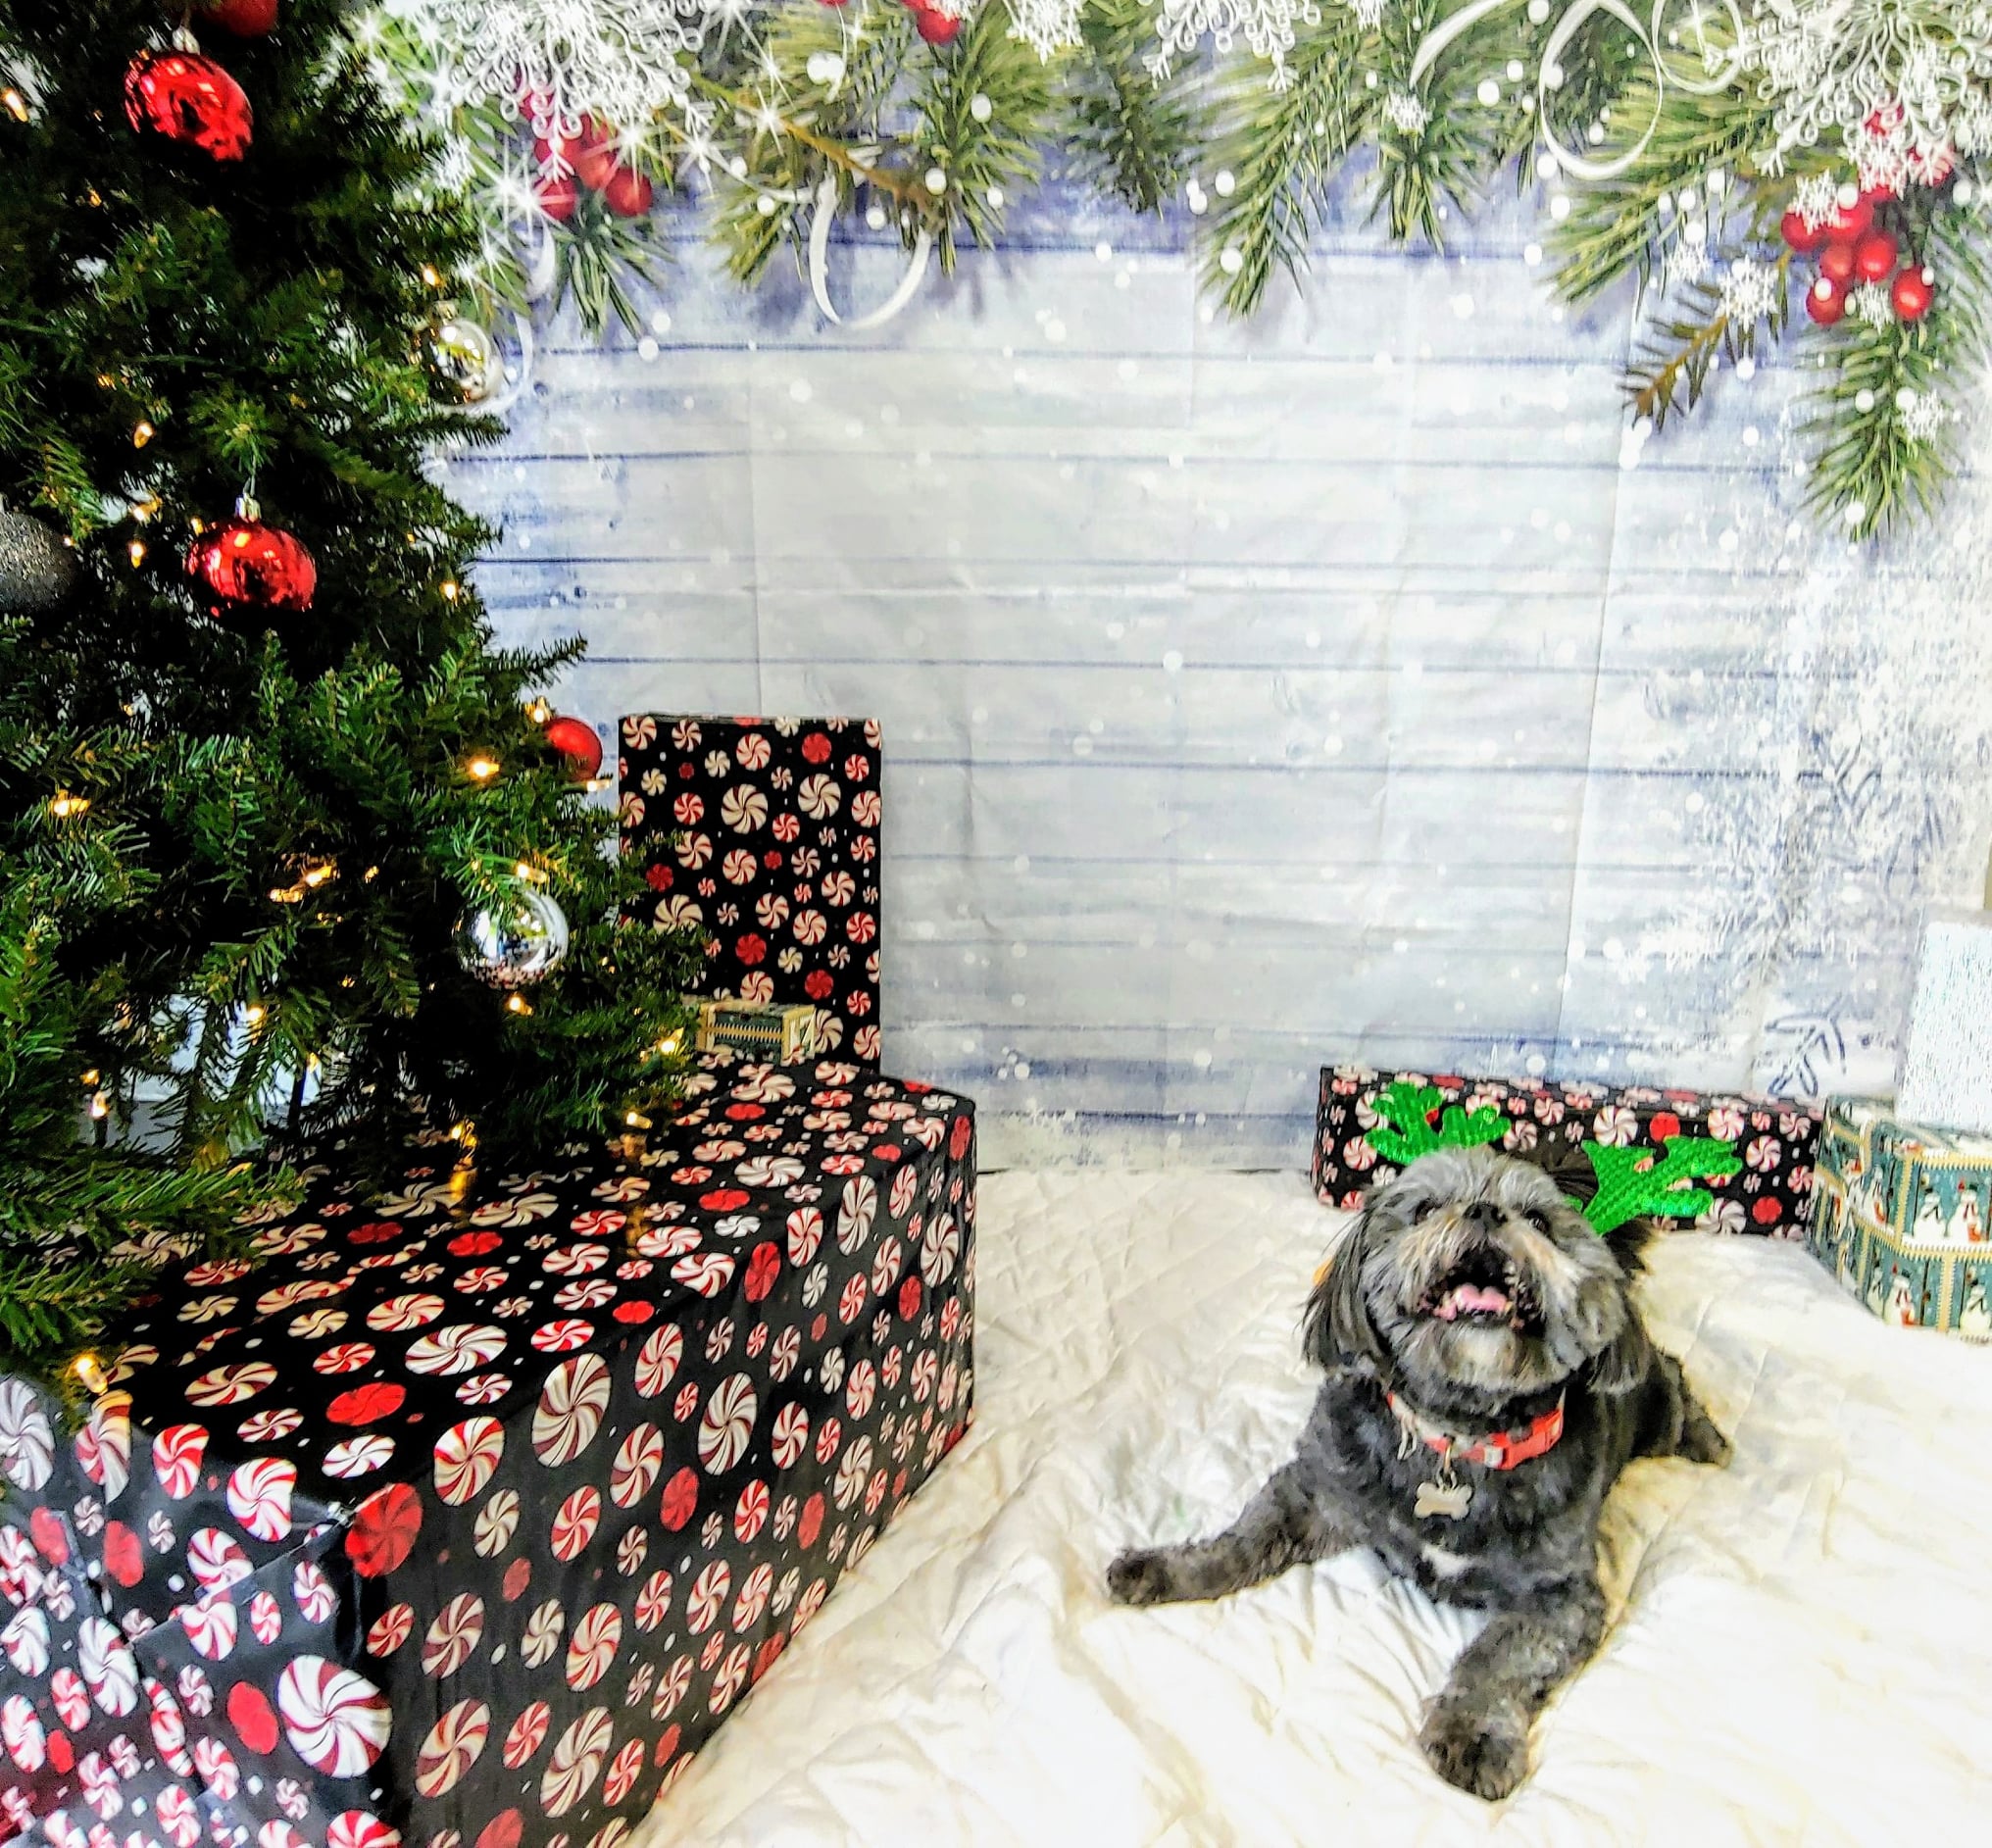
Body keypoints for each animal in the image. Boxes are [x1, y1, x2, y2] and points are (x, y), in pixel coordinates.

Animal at [1107, 1147, 1728, 1800]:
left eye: (1538, 1219)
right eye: (1426, 1207)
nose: (1485, 1211)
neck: (1456, 1439)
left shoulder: (1563, 1598)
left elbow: (1498, 1657)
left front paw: (1475, 1733)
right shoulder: (1318, 1491)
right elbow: (1242, 1540)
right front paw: (1166, 1569)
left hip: (1654, 1403)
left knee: (1674, 1383)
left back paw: (1711, 1445)